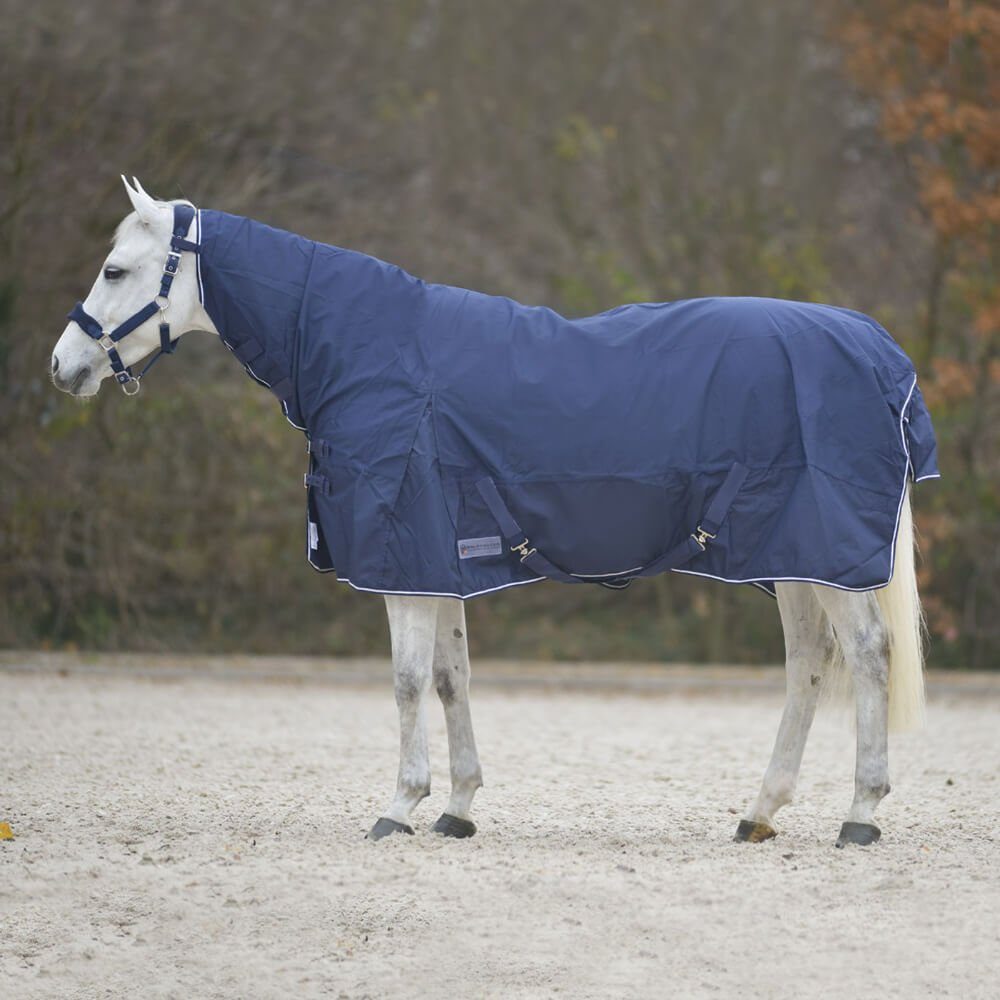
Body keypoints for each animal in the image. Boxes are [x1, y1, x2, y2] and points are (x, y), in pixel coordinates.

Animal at [51, 177, 938, 847]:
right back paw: (759, 812)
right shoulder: (441, 559)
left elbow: (408, 681)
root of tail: (881, 352)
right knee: (809, 663)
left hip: (827, 554)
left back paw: (860, 814)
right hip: (797, 556)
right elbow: (451, 678)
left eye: (118, 270)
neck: (372, 356)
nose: (63, 367)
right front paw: (457, 807)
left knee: (867, 656)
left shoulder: (406, 559)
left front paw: (399, 806)